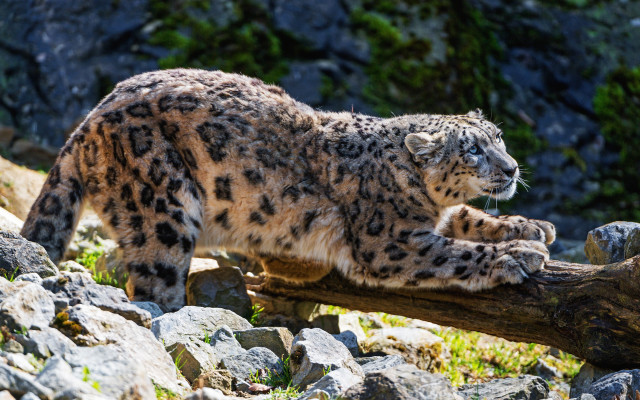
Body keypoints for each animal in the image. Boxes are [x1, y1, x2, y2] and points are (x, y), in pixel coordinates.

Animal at [21, 68, 555, 311]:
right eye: (473, 150)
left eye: (499, 137)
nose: (511, 169)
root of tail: (88, 120)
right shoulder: (389, 241)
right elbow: (453, 251)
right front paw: (518, 256)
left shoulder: (437, 215)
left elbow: (468, 217)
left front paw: (531, 227)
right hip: (161, 205)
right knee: (154, 284)